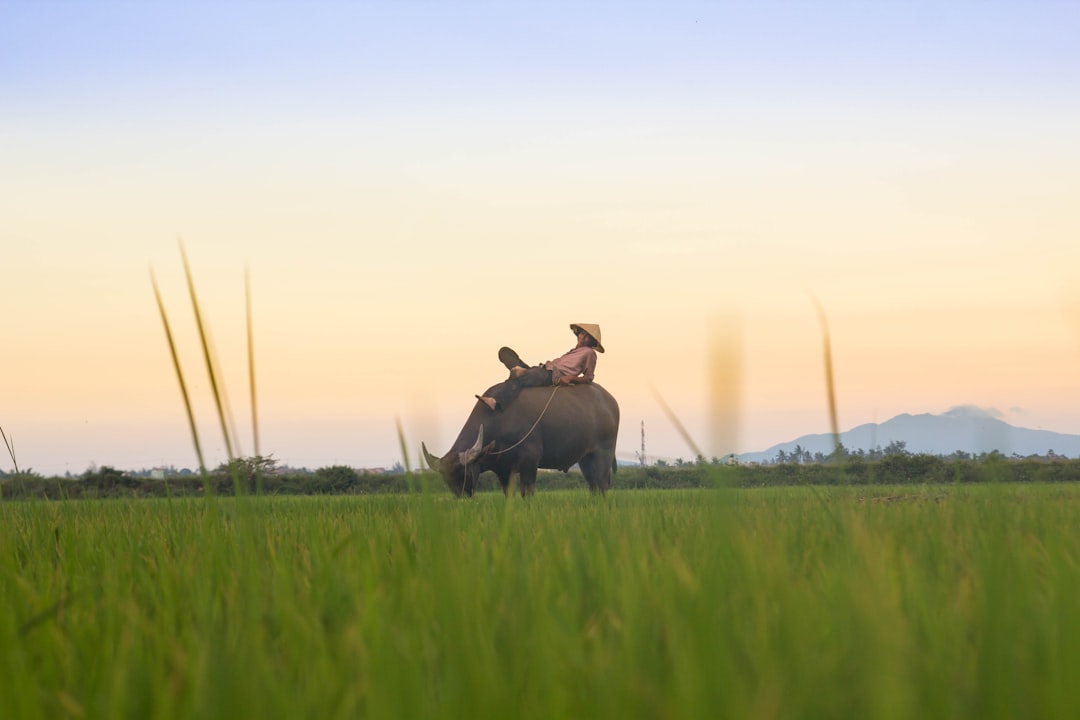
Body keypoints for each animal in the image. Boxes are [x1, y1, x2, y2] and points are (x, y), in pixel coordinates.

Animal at [423, 382, 622, 496]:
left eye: (463, 474)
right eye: (446, 479)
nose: (462, 498)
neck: (499, 420)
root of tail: (610, 401)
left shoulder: (530, 462)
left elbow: (527, 492)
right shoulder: (503, 471)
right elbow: (509, 496)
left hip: (604, 453)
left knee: (602, 484)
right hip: (585, 458)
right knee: (593, 485)